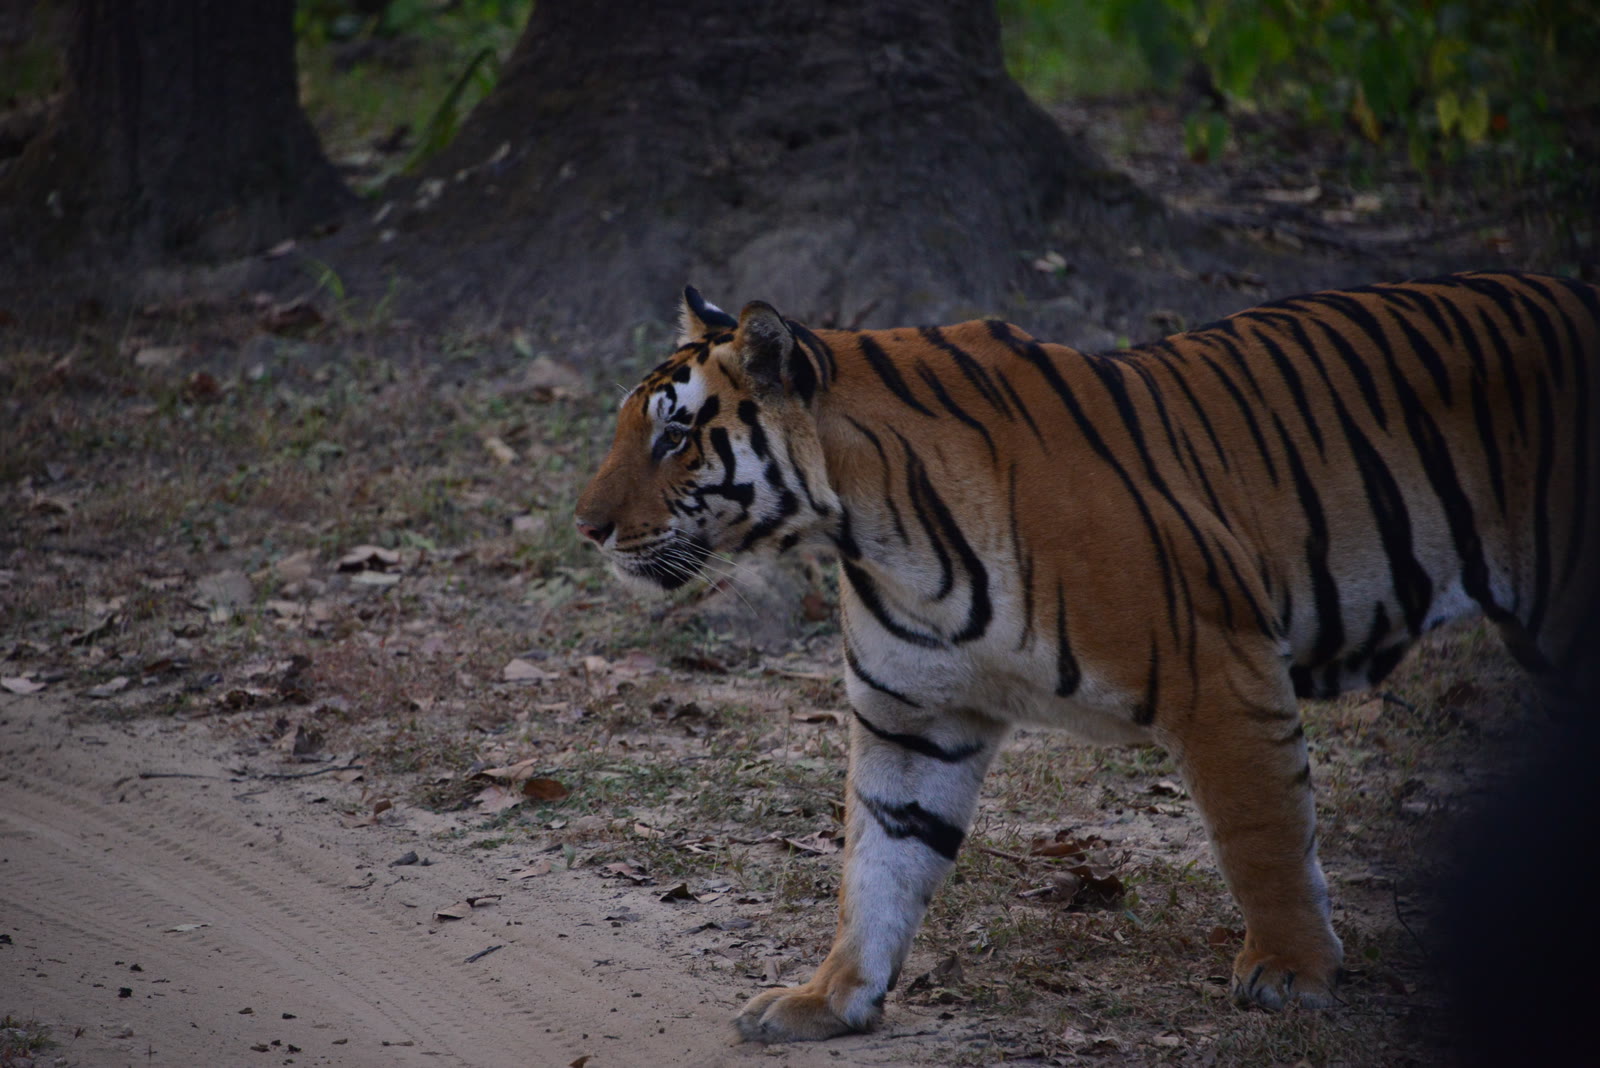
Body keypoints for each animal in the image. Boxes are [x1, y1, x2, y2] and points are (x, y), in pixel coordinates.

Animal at [574, 271, 1600, 1042]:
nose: (585, 528)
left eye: (675, 434)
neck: (870, 532)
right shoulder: (915, 721)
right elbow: (877, 864)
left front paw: (1290, 973)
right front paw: (830, 1000)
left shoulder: (1223, 673)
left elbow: (1263, 836)